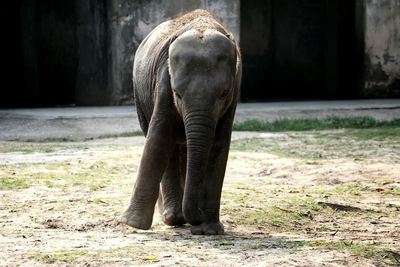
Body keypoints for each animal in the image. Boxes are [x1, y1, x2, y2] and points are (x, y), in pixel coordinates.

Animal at [120, 8, 242, 236]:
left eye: (224, 93)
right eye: (177, 93)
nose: (198, 218)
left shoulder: (235, 90)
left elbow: (219, 145)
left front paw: (210, 230)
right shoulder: (163, 82)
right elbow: (159, 137)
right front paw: (132, 224)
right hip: (139, 97)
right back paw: (173, 217)